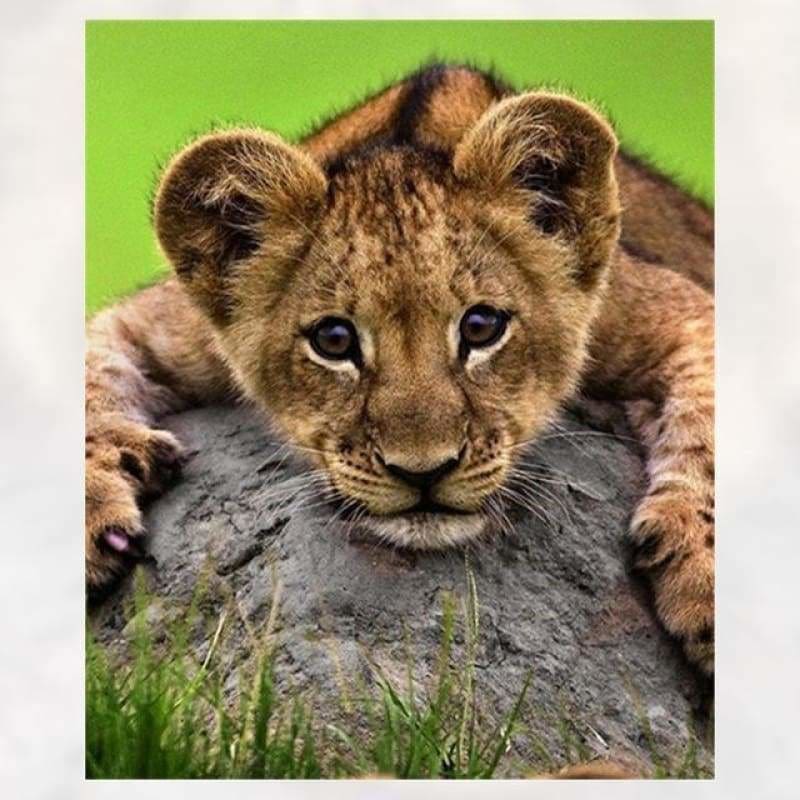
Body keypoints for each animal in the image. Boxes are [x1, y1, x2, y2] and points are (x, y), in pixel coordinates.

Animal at [85, 64, 714, 679]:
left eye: (481, 327)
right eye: (334, 340)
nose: (423, 472)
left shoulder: (670, 305)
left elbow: (708, 432)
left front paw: (703, 587)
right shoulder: (155, 321)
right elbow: (91, 378)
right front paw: (96, 518)